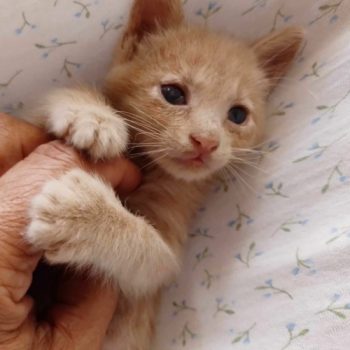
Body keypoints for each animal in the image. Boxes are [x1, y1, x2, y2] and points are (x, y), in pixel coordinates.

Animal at [25, 1, 304, 348]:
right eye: (173, 94)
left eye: (238, 115)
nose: (206, 142)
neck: (151, 166)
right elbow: (47, 105)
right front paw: (91, 114)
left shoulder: (158, 261)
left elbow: (151, 254)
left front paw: (81, 213)